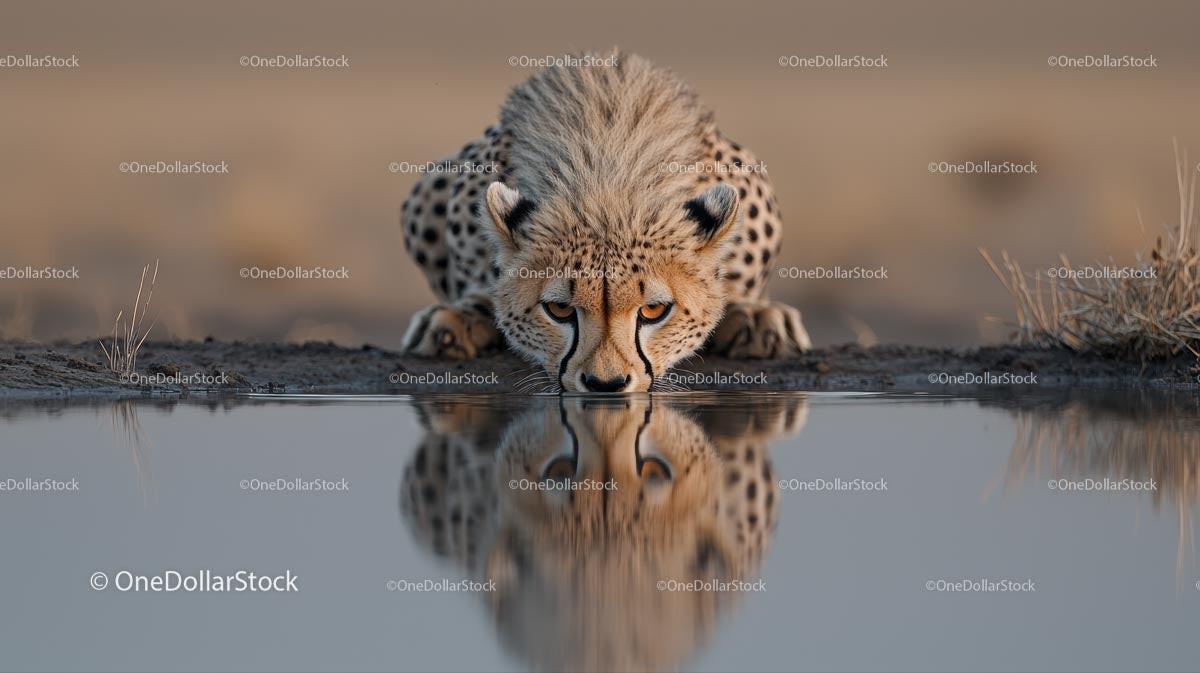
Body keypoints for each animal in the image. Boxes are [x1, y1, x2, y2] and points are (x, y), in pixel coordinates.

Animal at [399, 49, 811, 393]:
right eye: (559, 310)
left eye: (654, 310)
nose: (606, 384)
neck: (607, 175)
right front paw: (463, 315)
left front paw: (749, 313)